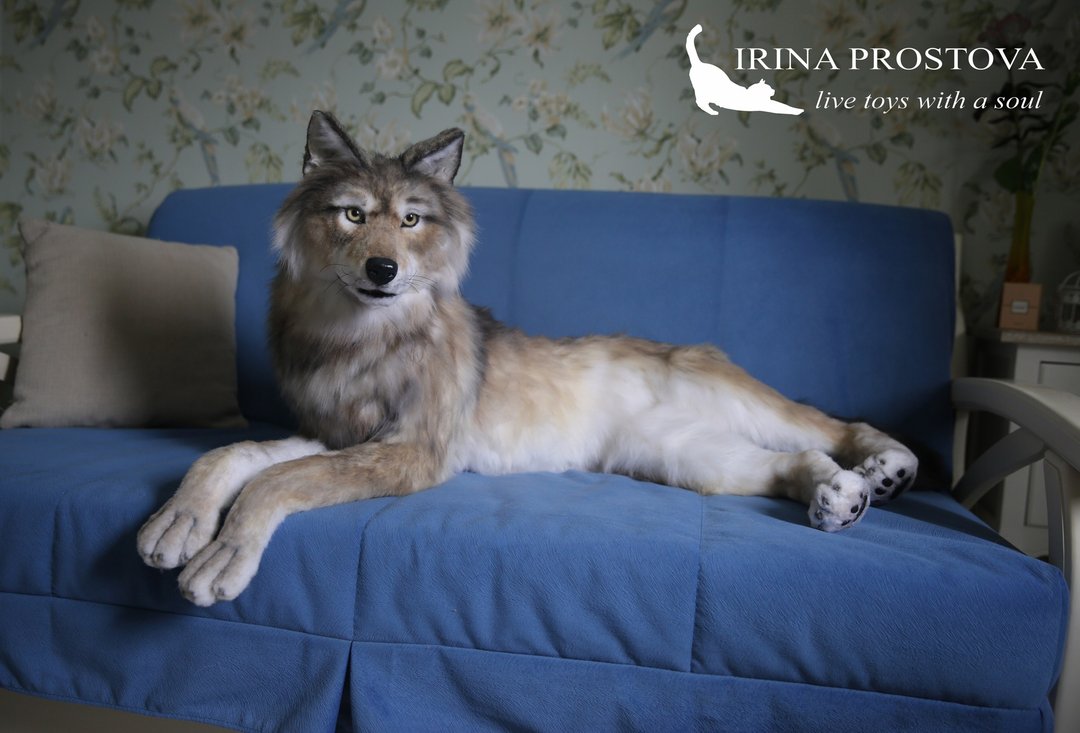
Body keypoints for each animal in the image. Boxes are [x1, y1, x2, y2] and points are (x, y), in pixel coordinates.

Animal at [138, 111, 916, 606]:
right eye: (353, 214)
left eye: (412, 219)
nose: (384, 269)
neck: (358, 334)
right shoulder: (337, 436)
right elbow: (231, 455)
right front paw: (181, 521)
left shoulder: (414, 451)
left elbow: (278, 481)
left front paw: (224, 554)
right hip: (689, 457)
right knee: (795, 462)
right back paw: (840, 498)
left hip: (739, 404)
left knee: (829, 427)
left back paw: (888, 467)